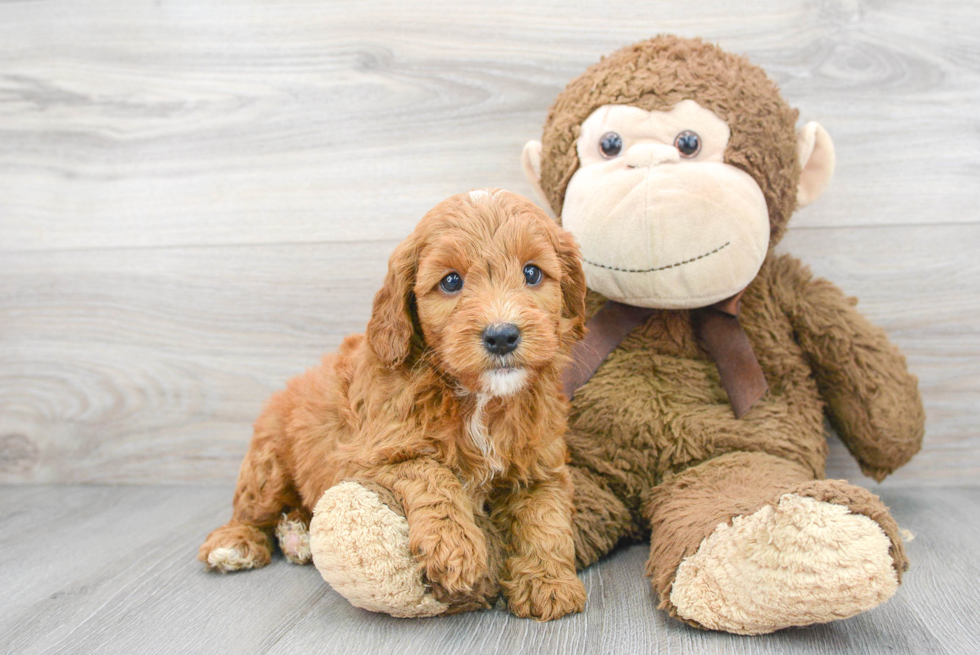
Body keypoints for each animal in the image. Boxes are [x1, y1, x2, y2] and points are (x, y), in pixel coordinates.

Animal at [195, 188, 584, 620]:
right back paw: (236, 543)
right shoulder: (365, 454)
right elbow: (430, 471)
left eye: (532, 273)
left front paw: (548, 583)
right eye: (451, 281)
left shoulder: (541, 463)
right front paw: (455, 547)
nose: (502, 336)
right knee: (251, 509)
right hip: (269, 462)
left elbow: (545, 517)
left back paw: (297, 536)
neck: (479, 400)